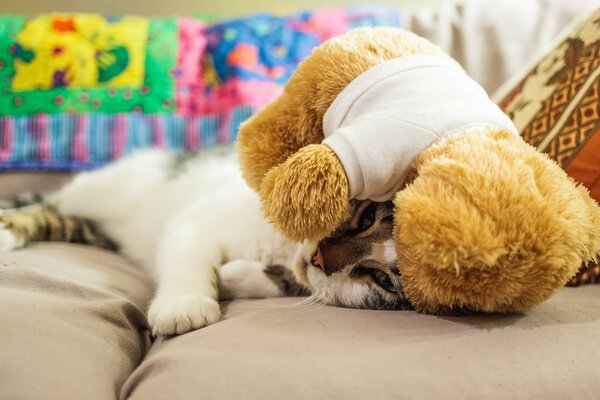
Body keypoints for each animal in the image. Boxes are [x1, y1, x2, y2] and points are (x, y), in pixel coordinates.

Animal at [0, 146, 412, 334]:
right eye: (366, 218)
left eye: (381, 279)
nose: (320, 260)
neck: (282, 249)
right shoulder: (197, 224)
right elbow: (189, 258)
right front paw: (184, 304)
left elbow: (281, 281)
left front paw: (235, 278)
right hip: (100, 189)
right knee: (46, 205)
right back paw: (7, 228)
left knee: (60, 220)